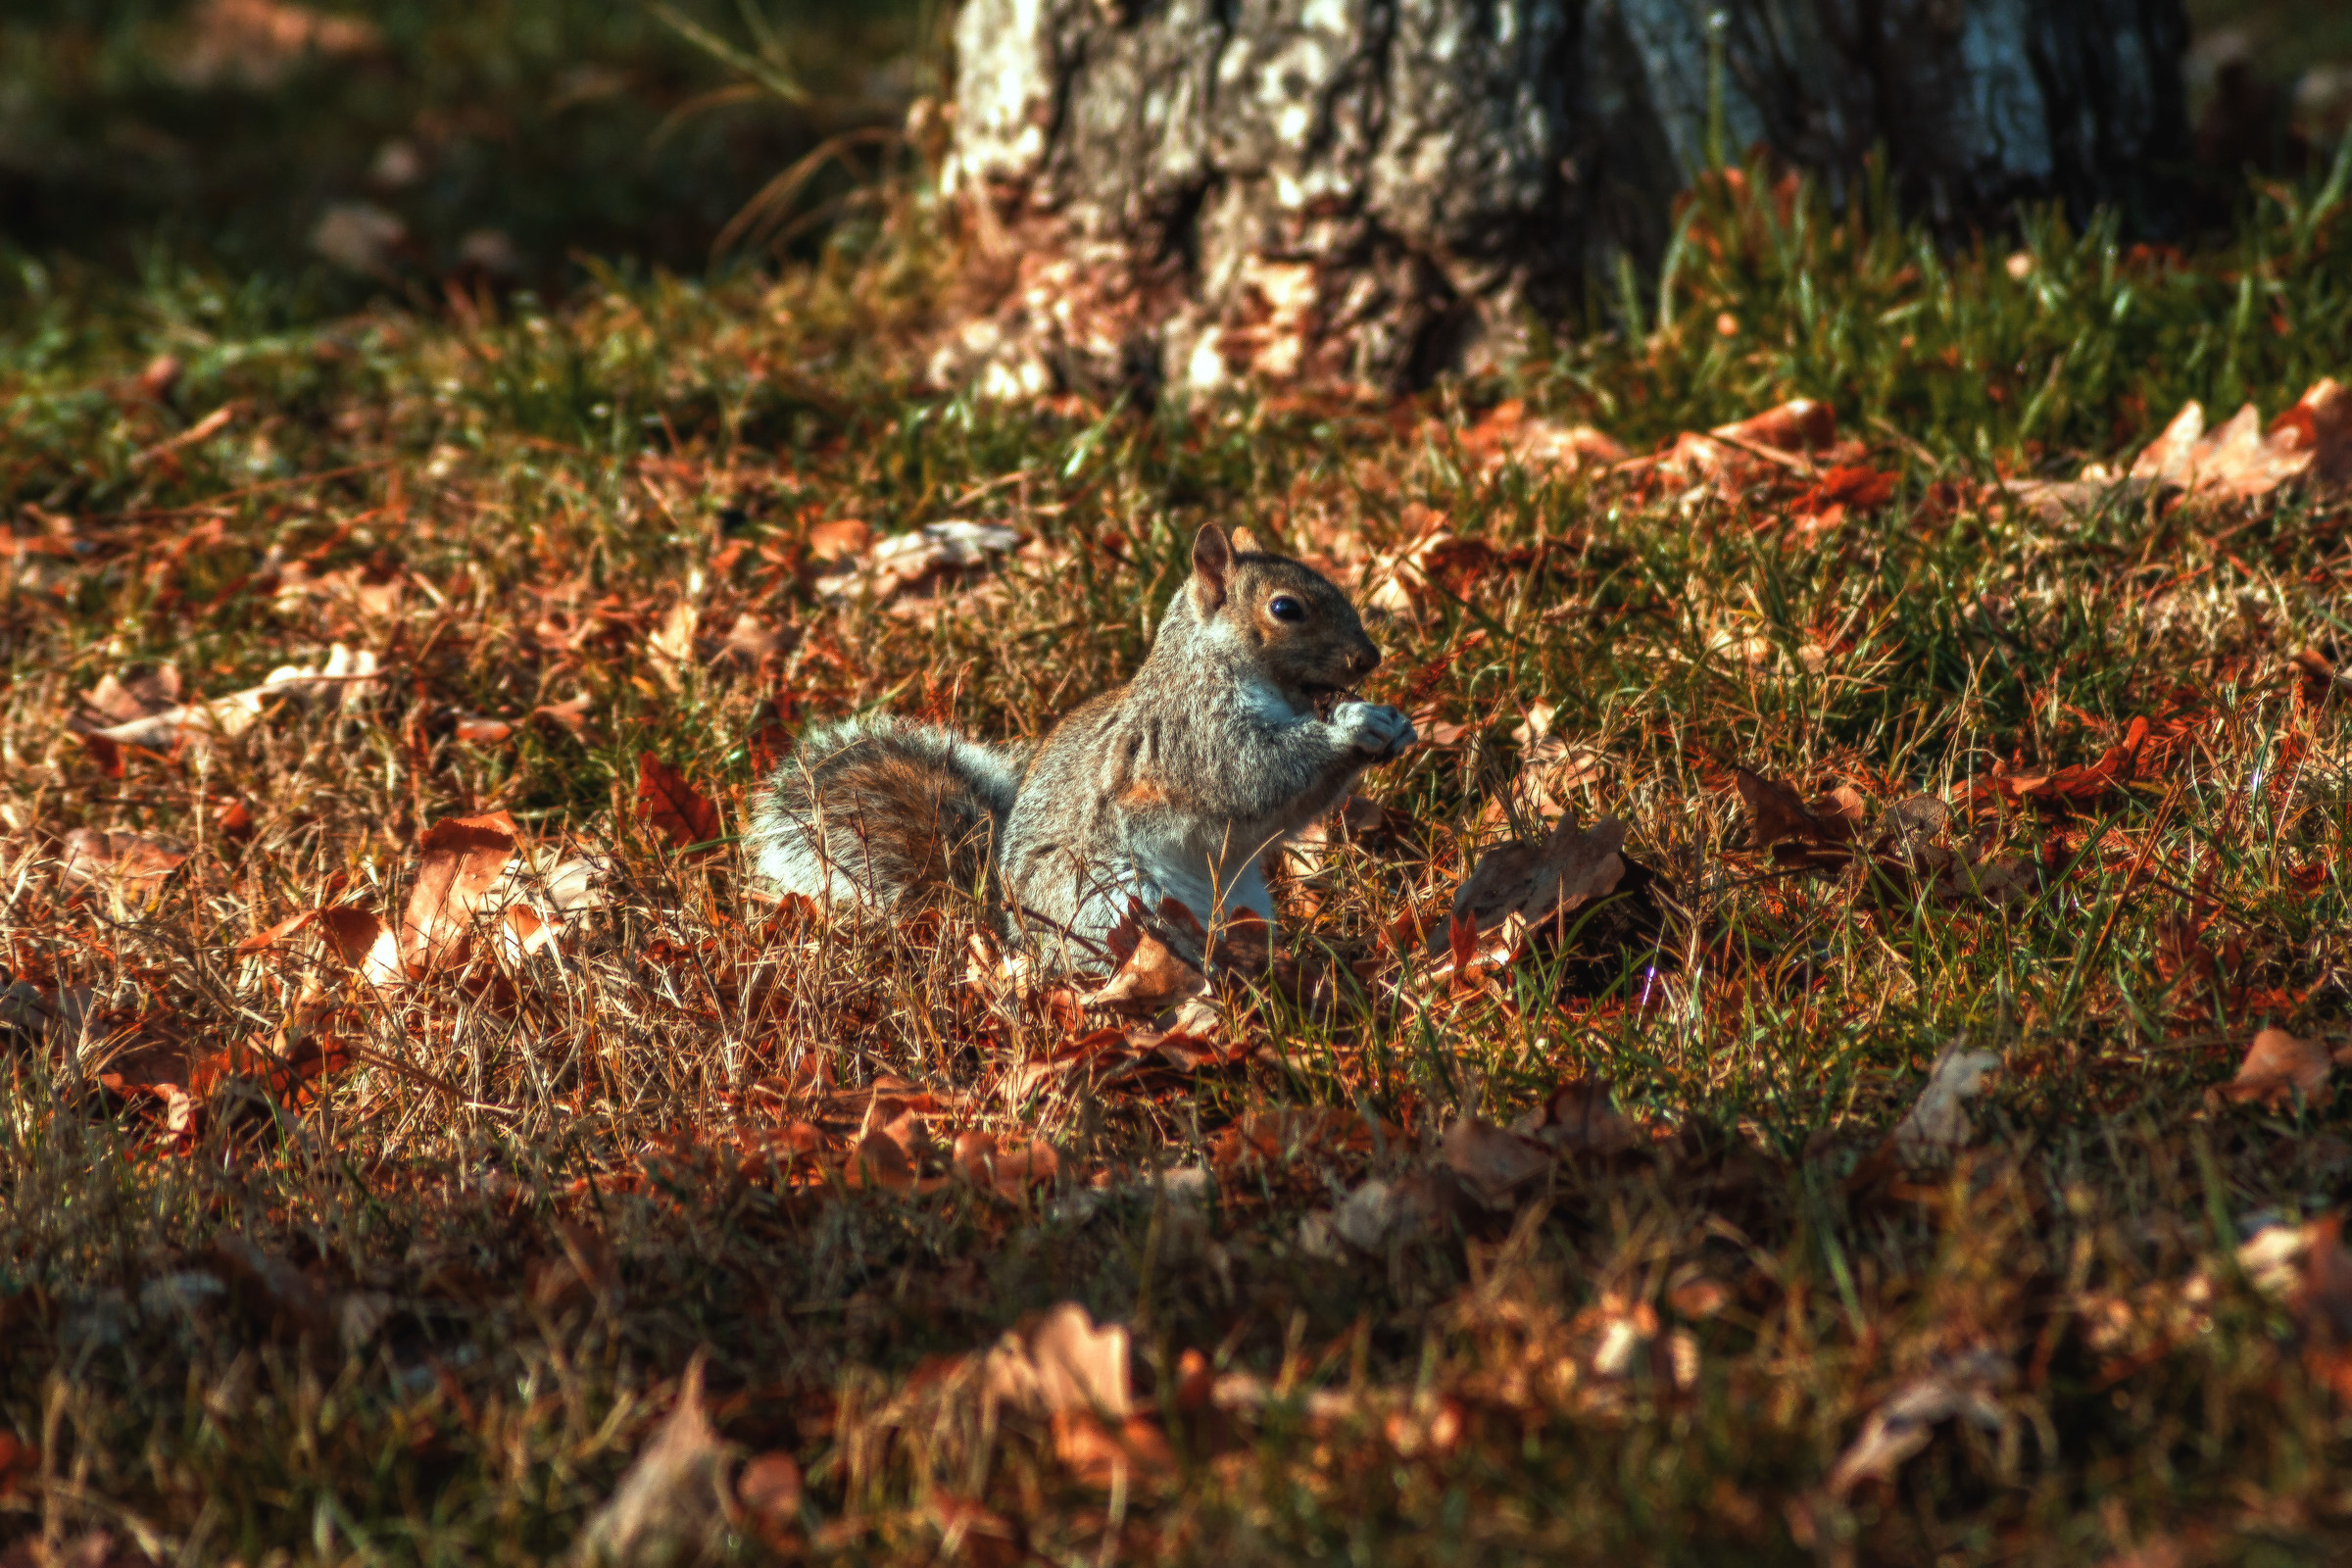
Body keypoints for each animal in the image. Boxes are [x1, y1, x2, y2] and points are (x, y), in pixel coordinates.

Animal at [746, 523, 1416, 965]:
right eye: (1285, 608)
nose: (1369, 658)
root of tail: (1016, 937)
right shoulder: (1190, 733)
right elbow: (1254, 775)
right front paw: (1354, 728)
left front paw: (1391, 724)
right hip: (1115, 900)